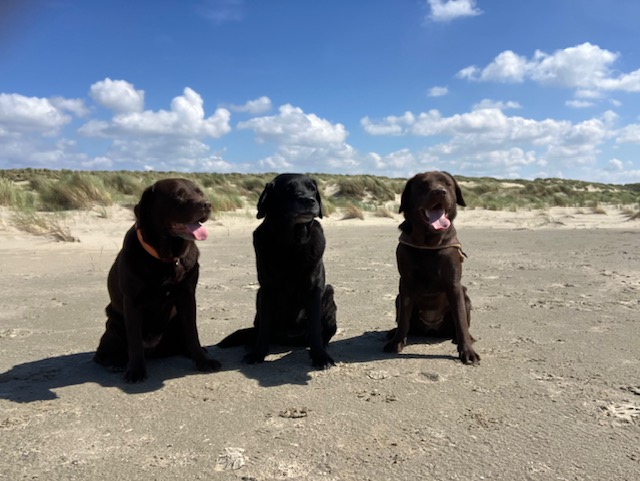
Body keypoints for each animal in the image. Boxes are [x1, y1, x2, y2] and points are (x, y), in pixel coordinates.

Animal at [92, 178, 222, 380]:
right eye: (179, 195)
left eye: (200, 193)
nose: (207, 204)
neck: (167, 258)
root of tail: (153, 350)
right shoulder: (132, 302)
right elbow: (135, 341)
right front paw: (136, 371)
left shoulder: (187, 297)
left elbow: (192, 333)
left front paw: (203, 361)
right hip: (114, 325)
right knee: (102, 354)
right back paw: (116, 362)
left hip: (175, 323)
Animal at [218, 172, 338, 368]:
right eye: (288, 189)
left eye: (312, 189)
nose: (309, 200)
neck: (291, 244)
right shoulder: (267, 290)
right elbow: (264, 328)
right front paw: (257, 353)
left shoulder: (314, 290)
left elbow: (315, 329)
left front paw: (320, 356)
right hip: (259, 296)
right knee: (259, 329)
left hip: (328, 291)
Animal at [380, 171, 480, 362]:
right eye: (422, 185)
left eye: (447, 184)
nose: (439, 192)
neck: (429, 243)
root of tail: (431, 329)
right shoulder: (405, 283)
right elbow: (403, 318)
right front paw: (396, 342)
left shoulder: (454, 284)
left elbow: (461, 321)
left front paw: (467, 351)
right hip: (397, 298)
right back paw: (393, 333)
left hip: (465, 297)